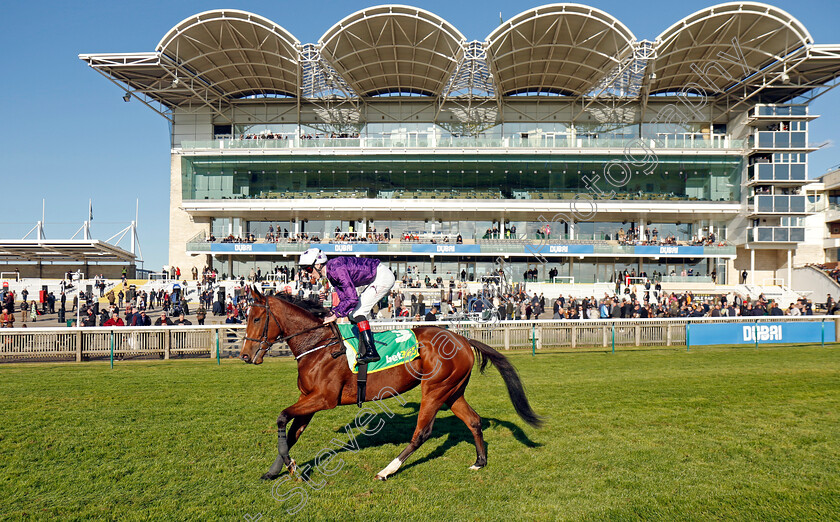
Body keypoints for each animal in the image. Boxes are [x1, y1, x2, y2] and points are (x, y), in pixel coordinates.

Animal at [238, 284, 540, 480]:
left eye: (257, 318)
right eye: (245, 317)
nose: (245, 355)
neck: (318, 346)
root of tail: (463, 339)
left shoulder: (324, 399)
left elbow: (281, 417)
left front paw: (290, 467)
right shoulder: (308, 399)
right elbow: (291, 432)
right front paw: (275, 470)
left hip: (435, 389)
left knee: (421, 433)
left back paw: (387, 470)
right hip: (453, 392)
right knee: (474, 421)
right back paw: (480, 461)